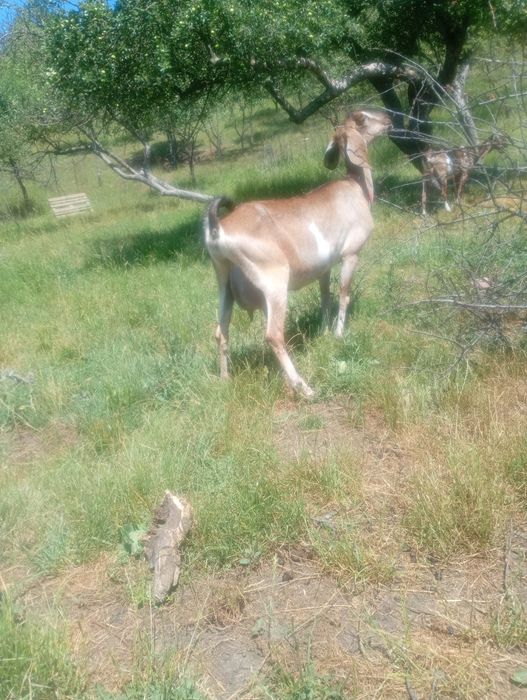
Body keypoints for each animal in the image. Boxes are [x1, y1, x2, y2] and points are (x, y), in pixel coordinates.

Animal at [204, 109, 392, 397]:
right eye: (362, 118)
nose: (389, 120)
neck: (355, 187)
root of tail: (218, 230)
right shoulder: (350, 254)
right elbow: (343, 294)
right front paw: (339, 334)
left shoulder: (324, 267)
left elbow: (325, 296)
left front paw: (324, 330)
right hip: (274, 282)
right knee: (273, 335)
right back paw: (304, 387)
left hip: (224, 282)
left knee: (221, 331)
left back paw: (225, 380)